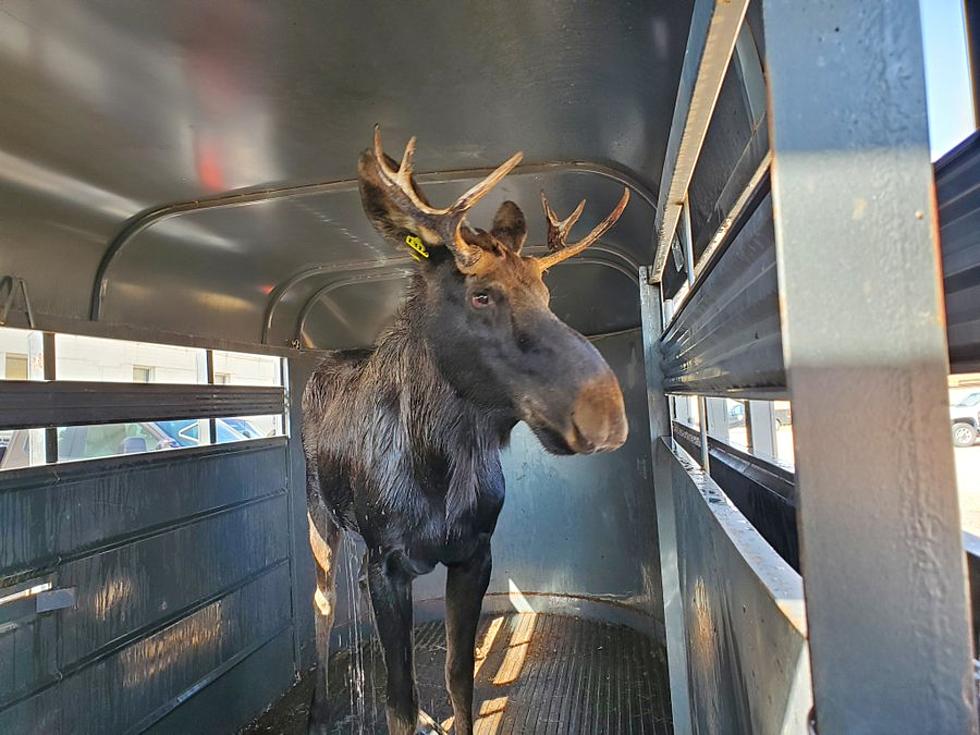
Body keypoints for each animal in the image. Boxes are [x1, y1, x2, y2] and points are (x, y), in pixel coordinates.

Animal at [302, 128, 632, 735]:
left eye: (546, 295)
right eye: (481, 294)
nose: (605, 413)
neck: (439, 469)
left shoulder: (475, 554)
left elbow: (460, 676)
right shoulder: (387, 563)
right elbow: (399, 701)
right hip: (320, 515)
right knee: (323, 604)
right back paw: (319, 710)